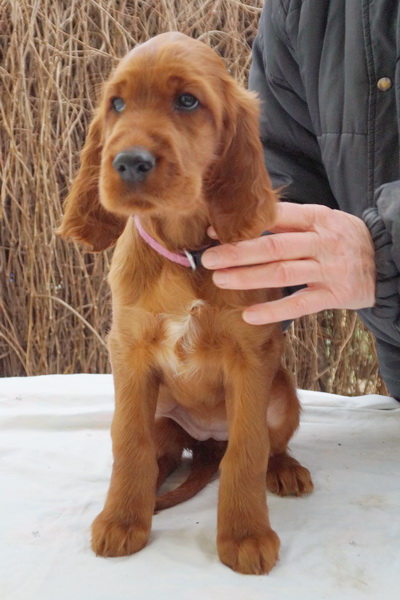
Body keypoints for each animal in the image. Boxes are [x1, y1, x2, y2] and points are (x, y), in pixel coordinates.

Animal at [58, 32, 313, 575]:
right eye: (117, 104)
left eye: (188, 101)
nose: (129, 162)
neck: (185, 252)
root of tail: (205, 441)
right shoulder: (129, 353)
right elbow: (127, 443)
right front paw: (121, 520)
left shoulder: (251, 356)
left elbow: (248, 450)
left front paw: (245, 535)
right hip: (162, 415)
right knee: (161, 455)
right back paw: (151, 490)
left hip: (283, 396)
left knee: (266, 445)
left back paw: (284, 469)